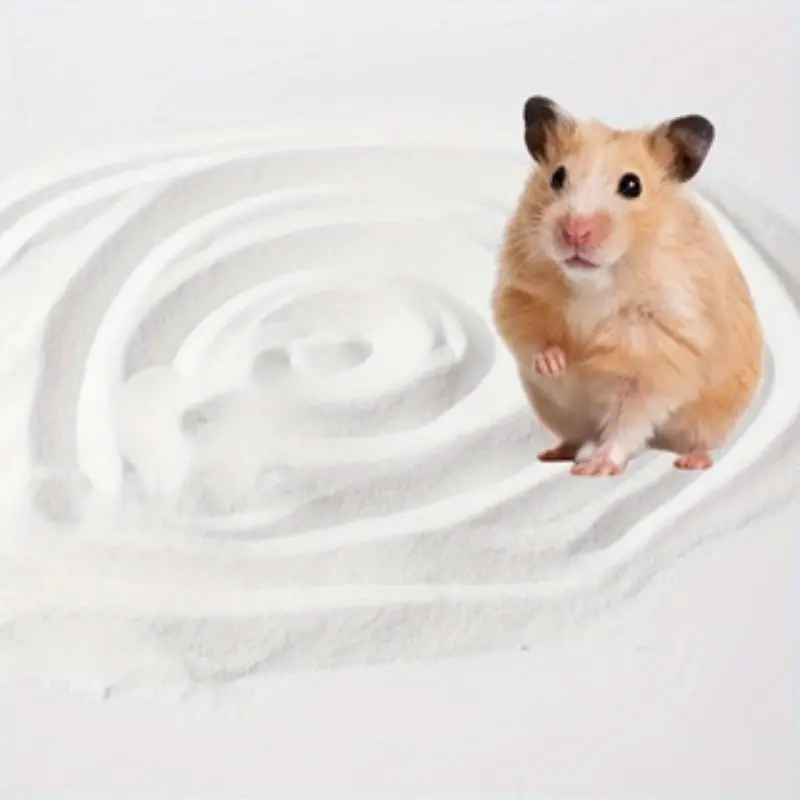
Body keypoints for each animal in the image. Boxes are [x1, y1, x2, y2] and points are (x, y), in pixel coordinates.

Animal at [492, 95, 764, 477]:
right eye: (557, 177)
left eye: (632, 186)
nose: (575, 231)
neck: (593, 283)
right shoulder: (517, 292)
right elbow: (531, 334)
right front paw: (559, 363)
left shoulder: (662, 353)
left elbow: (628, 420)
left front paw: (596, 467)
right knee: (575, 435)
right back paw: (555, 453)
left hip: (712, 417)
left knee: (698, 441)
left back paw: (690, 462)